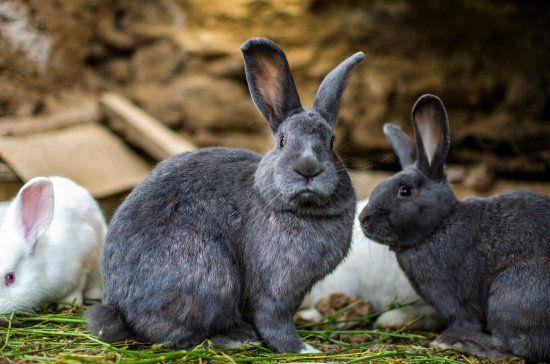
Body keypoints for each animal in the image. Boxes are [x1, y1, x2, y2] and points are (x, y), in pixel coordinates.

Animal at [86, 37, 364, 352]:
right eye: (282, 141)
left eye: (331, 142)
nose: (308, 168)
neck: (300, 210)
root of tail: (119, 309)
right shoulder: (274, 290)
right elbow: (274, 323)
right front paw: (303, 348)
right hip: (211, 278)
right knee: (178, 336)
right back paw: (236, 339)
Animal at [362, 94, 550, 362]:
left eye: (405, 191)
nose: (363, 219)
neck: (439, 224)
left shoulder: (455, 299)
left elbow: (466, 319)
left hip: (511, 295)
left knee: (513, 345)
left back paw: (454, 341)